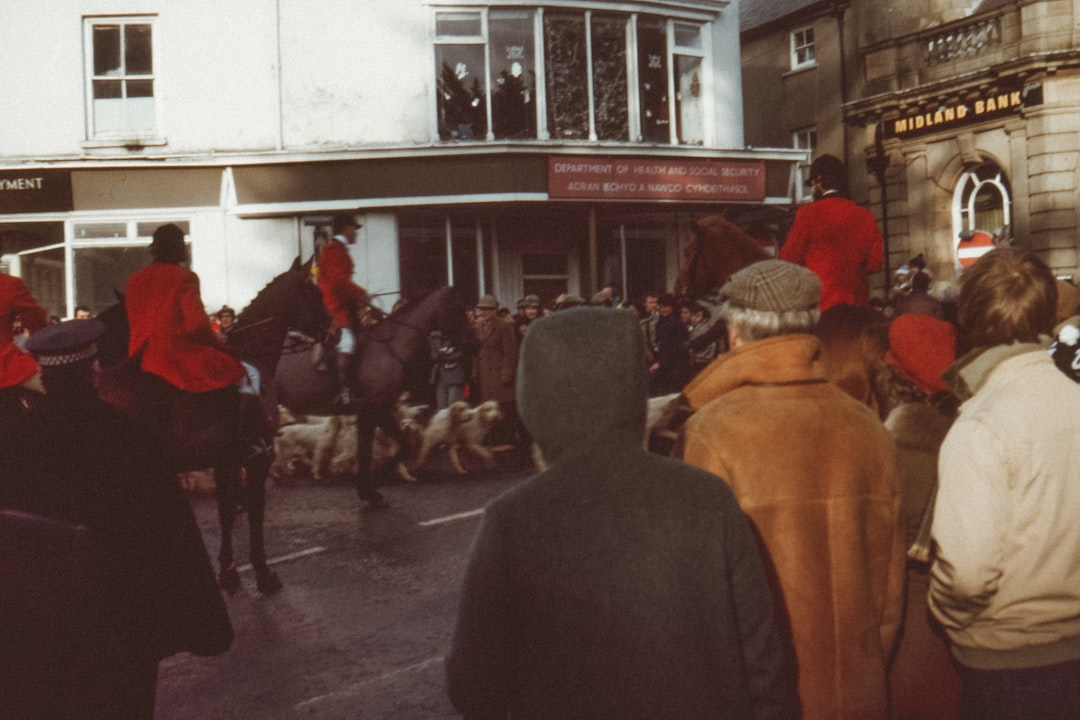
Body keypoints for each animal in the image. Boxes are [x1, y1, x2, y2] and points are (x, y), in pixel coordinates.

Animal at [96, 255, 328, 595]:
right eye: (315, 293)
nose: (331, 327)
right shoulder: (258, 458)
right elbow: (254, 511)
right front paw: (262, 573)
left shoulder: (225, 460)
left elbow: (226, 512)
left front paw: (228, 571)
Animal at [272, 284, 466, 507]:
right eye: (457, 308)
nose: (476, 342)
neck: (389, 347)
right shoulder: (372, 409)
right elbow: (375, 451)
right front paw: (372, 486)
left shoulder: (377, 410)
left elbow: (389, 447)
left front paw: (373, 485)